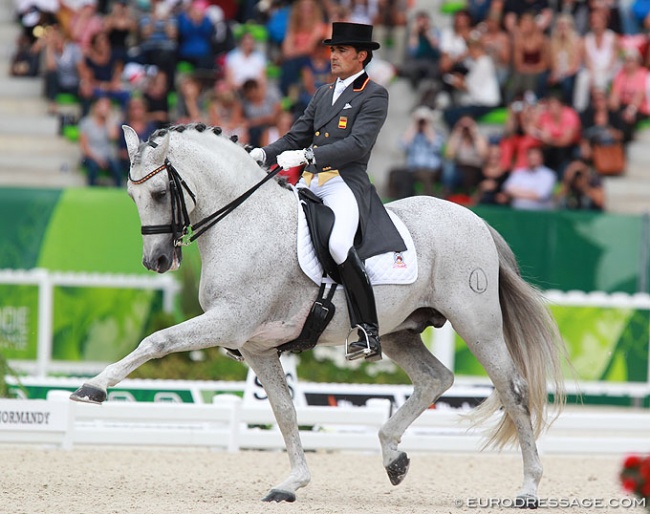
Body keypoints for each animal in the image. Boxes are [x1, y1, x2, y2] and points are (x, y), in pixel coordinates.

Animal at [69, 123, 560, 504]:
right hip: (399, 331)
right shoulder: (256, 345)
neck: (244, 224)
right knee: (435, 379)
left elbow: (157, 340)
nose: (156, 261)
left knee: (513, 391)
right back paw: (393, 456)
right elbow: (284, 410)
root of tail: (473, 219)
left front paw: (93, 387)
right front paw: (292, 483)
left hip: (477, 325)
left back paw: (529, 489)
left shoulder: (228, 322)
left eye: (157, 192)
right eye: (131, 195)